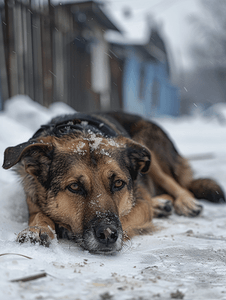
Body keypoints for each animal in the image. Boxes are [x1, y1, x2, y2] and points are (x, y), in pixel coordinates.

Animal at [2, 110, 225, 253]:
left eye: (118, 184)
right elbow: (39, 215)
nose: (108, 234)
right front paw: (37, 229)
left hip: (148, 146)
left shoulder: (139, 207)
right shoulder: (32, 203)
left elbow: (127, 216)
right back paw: (162, 204)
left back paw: (186, 203)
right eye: (74, 187)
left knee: (179, 186)